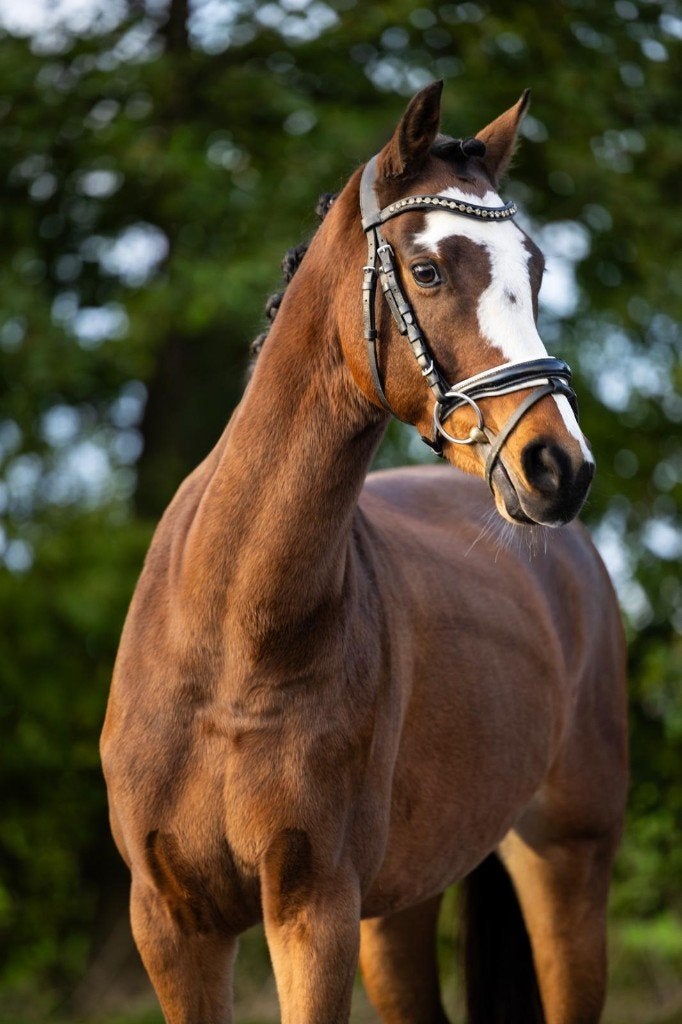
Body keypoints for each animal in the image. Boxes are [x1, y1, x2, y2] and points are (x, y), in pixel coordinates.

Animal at [101, 81, 628, 1024]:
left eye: (533, 271)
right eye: (428, 271)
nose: (558, 468)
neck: (231, 638)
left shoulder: (315, 908)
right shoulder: (172, 923)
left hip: (570, 865)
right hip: (402, 905)